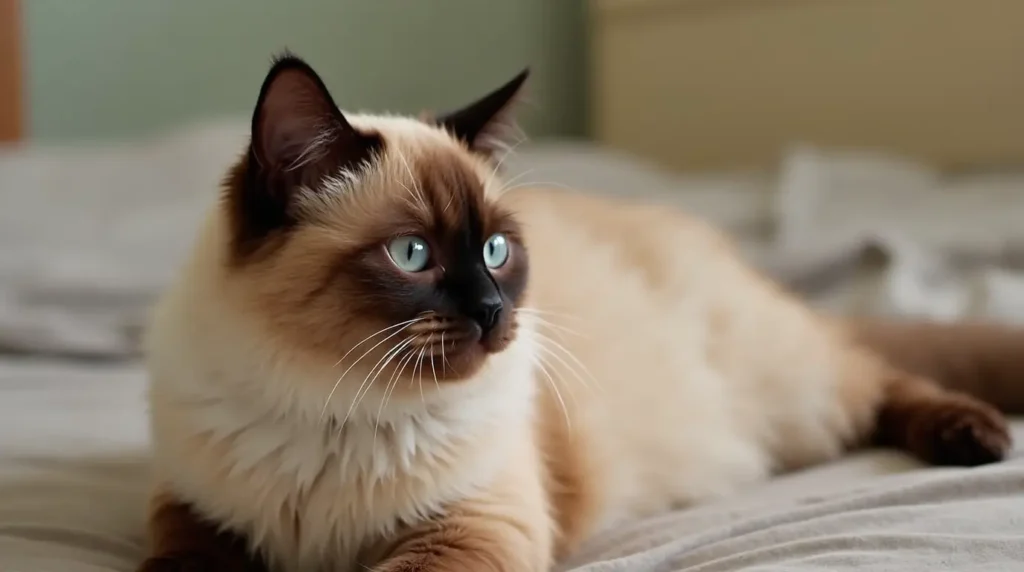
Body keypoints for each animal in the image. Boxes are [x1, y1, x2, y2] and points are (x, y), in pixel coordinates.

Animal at [140, 53, 1019, 572]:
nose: (493, 311)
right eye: (414, 256)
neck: (334, 407)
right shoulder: (195, 519)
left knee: (881, 381)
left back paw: (978, 441)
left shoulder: (470, 528)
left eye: (497, 250)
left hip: (795, 399)